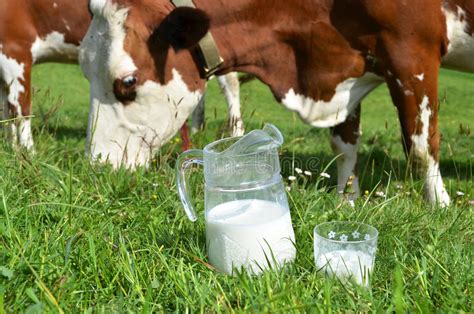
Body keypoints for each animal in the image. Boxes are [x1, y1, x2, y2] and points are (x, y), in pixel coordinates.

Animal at [0, 0, 243, 152]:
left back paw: (237, 134)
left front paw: (28, 153)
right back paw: (197, 129)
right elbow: (7, 110)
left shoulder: (15, 48)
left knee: (230, 83)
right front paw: (11, 147)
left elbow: (21, 110)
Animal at [79, 0, 472, 206]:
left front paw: (439, 207)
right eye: (84, 69)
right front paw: (346, 200)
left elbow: (420, 146)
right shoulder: (343, 72)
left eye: (128, 81)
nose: (98, 165)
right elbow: (344, 145)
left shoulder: (412, 50)